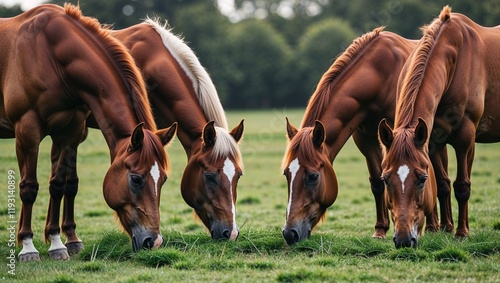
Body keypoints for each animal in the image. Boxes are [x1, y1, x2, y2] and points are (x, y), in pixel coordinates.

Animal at [0, 3, 176, 262]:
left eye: (163, 179)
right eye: (136, 178)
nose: (154, 241)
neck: (49, 53)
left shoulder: (69, 133)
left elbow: (58, 184)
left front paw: (57, 245)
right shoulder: (27, 129)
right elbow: (29, 187)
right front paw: (28, 247)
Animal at [282, 25, 430, 245]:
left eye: (313, 176)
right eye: (287, 174)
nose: (289, 233)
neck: (379, 76)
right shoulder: (366, 139)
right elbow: (377, 182)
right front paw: (380, 230)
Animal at [378, 5, 500, 246]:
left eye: (422, 179)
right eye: (385, 179)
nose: (404, 239)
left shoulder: (465, 139)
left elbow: (461, 185)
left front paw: (462, 232)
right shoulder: (432, 138)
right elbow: (443, 184)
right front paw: (444, 228)